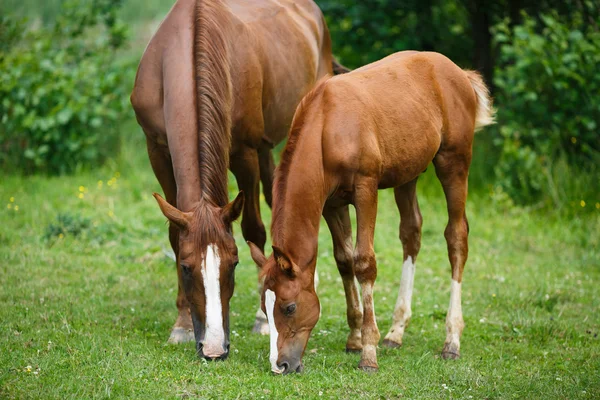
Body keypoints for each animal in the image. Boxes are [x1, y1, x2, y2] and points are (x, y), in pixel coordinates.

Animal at [131, 0, 346, 360]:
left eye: (233, 264)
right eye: (186, 268)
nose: (214, 348)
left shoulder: (244, 153)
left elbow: (253, 230)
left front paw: (262, 318)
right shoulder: (156, 150)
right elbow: (175, 234)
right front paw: (182, 324)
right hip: (264, 148)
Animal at [246, 50, 494, 376]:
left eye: (289, 307)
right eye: (264, 307)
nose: (281, 365)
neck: (328, 127)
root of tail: (458, 72)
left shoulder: (366, 191)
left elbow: (364, 263)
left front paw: (368, 352)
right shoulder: (333, 204)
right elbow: (344, 260)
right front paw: (354, 339)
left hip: (454, 162)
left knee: (456, 237)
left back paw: (451, 340)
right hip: (408, 174)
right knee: (411, 234)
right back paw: (396, 332)